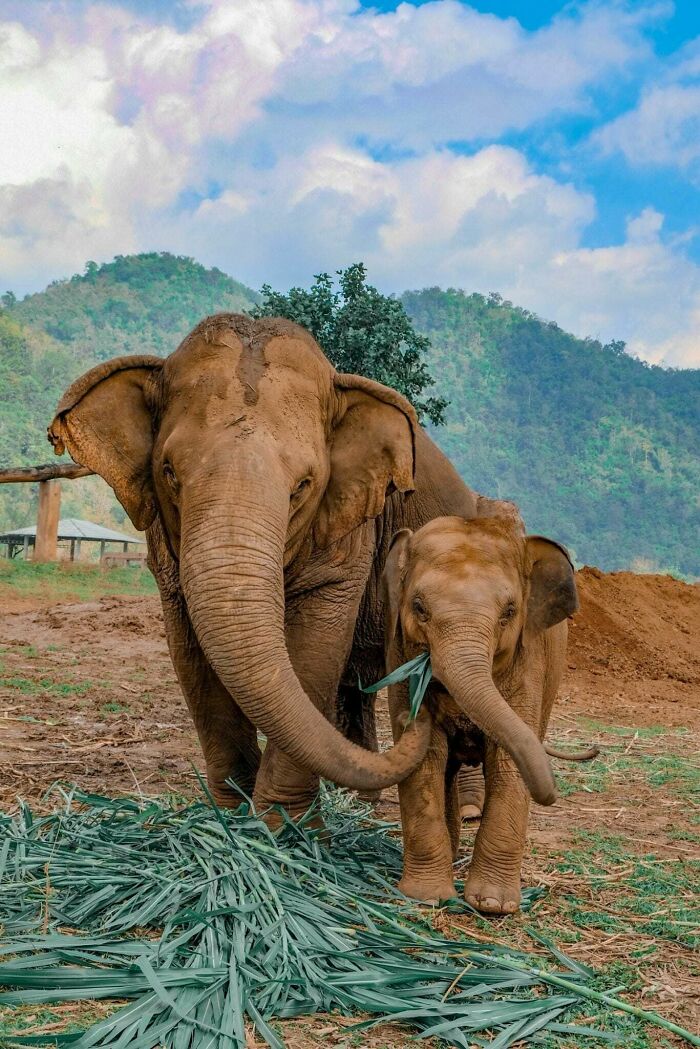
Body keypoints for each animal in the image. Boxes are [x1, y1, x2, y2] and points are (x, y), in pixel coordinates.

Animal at [47, 313, 557, 820]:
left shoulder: (349, 529)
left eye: (303, 485)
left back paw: (464, 810)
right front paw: (231, 816)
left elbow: (314, 648)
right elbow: (190, 656)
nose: (415, 720)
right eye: (170, 473)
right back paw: (359, 799)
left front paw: (284, 826)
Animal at [381, 514, 579, 913]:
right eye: (419, 607)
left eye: (509, 612)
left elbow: (507, 763)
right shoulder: (399, 655)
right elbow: (424, 761)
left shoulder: (527, 664)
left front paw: (492, 905)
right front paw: (427, 898)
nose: (552, 793)